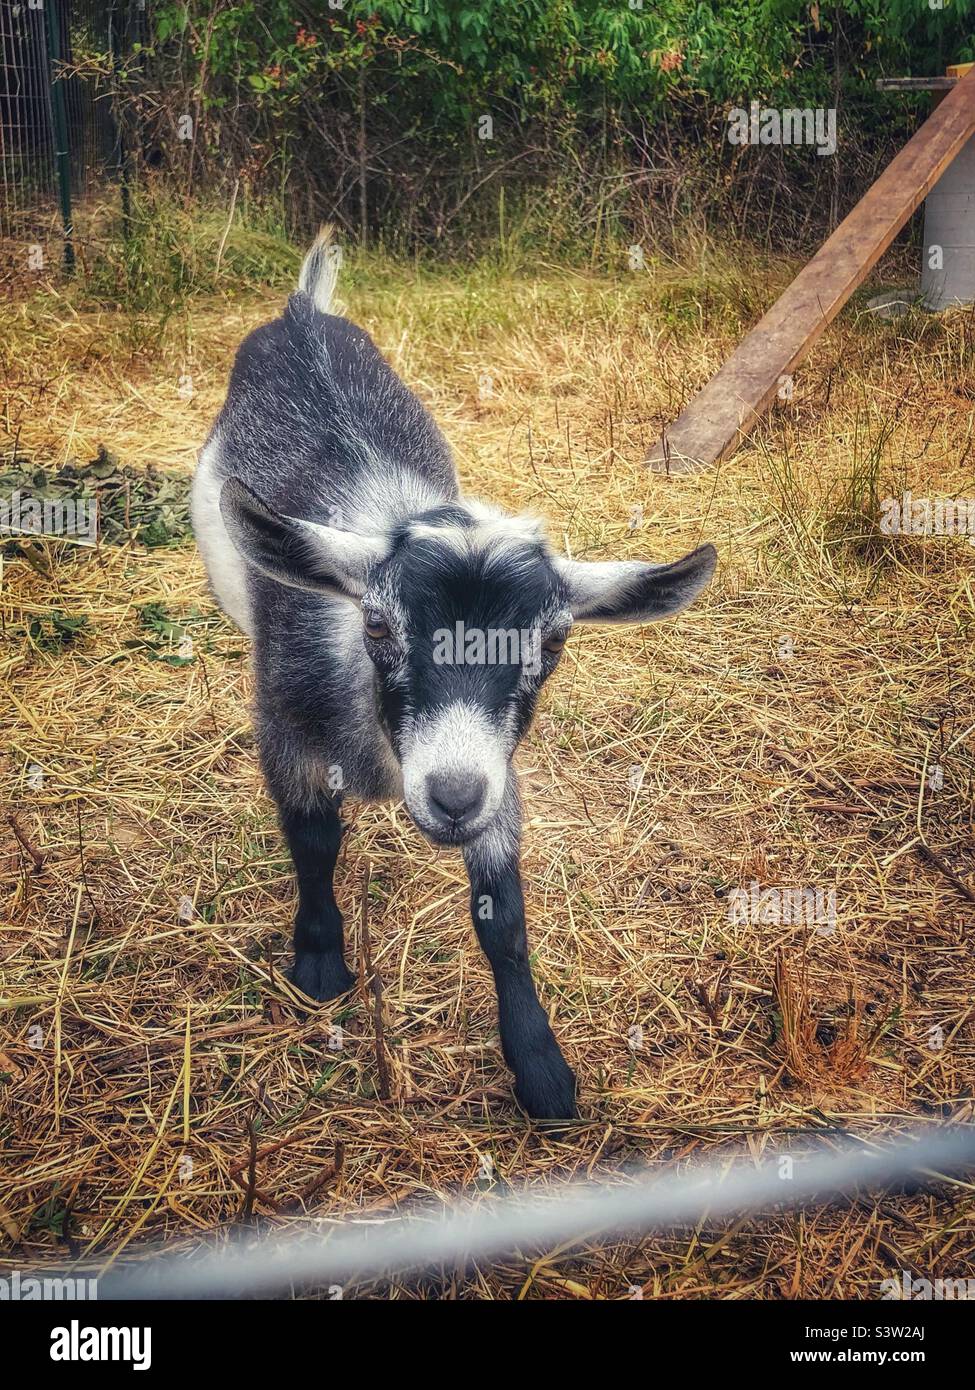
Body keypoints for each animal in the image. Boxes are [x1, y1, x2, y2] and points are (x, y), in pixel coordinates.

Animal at [192, 230, 716, 1120]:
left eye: (553, 643)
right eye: (376, 625)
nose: (451, 796)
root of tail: (301, 312)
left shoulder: (499, 771)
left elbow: (502, 914)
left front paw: (540, 1069)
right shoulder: (287, 732)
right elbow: (313, 841)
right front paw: (320, 965)